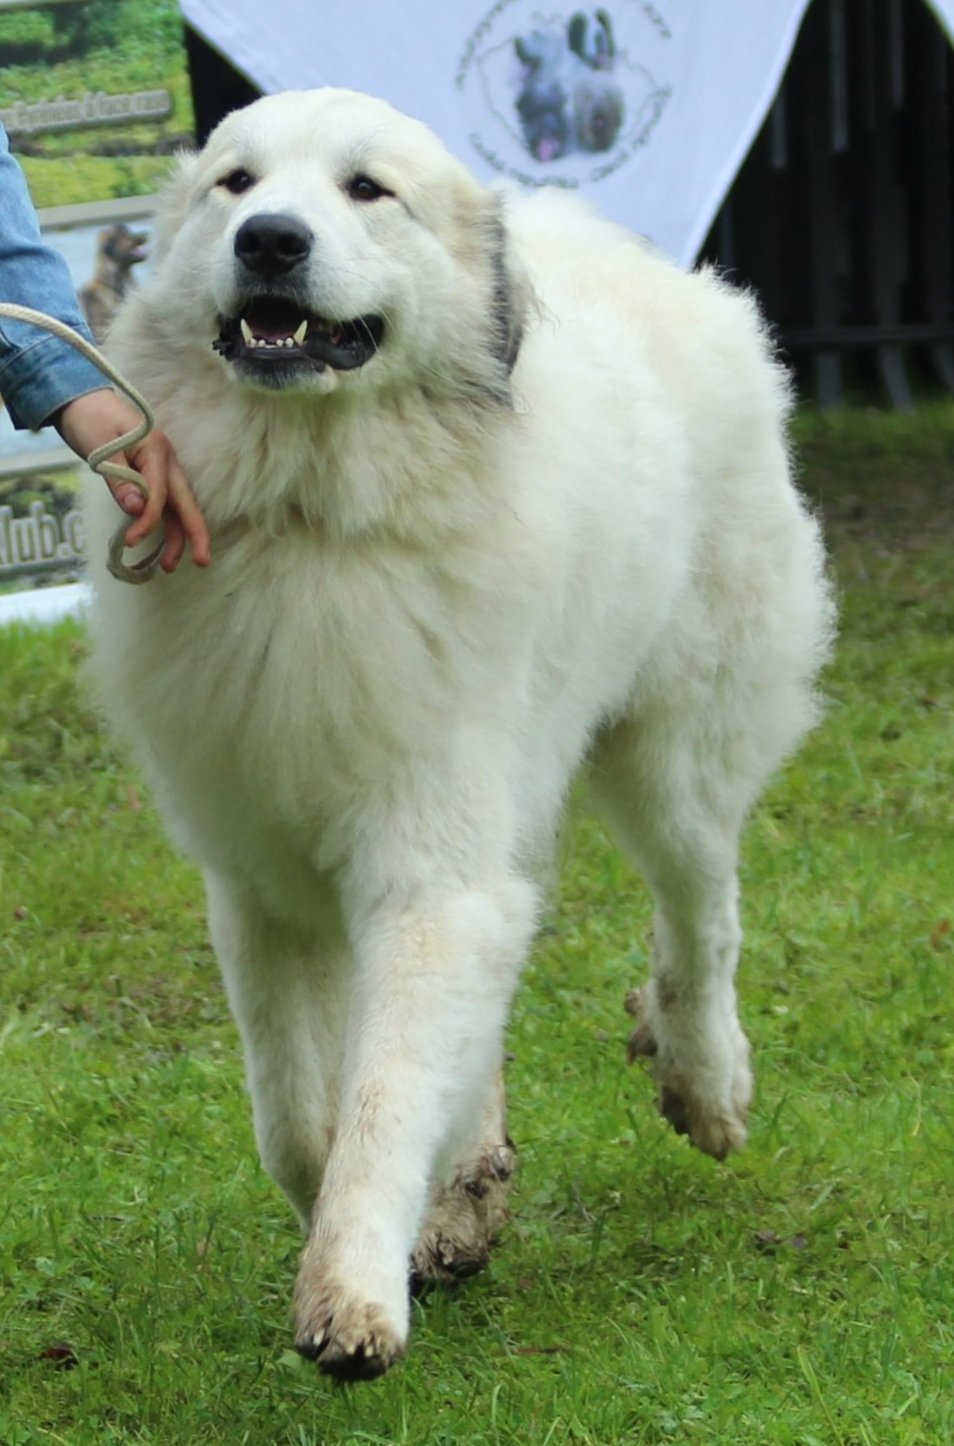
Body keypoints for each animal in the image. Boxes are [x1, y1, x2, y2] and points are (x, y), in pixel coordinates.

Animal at [87, 87, 832, 1376]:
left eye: (367, 191)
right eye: (237, 184)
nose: (269, 242)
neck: (316, 517)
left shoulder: (429, 864)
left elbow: (382, 1095)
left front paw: (353, 1294)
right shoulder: (259, 881)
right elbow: (299, 1119)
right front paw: (404, 1232)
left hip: (672, 751)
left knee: (702, 913)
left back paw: (704, 1079)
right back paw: (474, 1187)